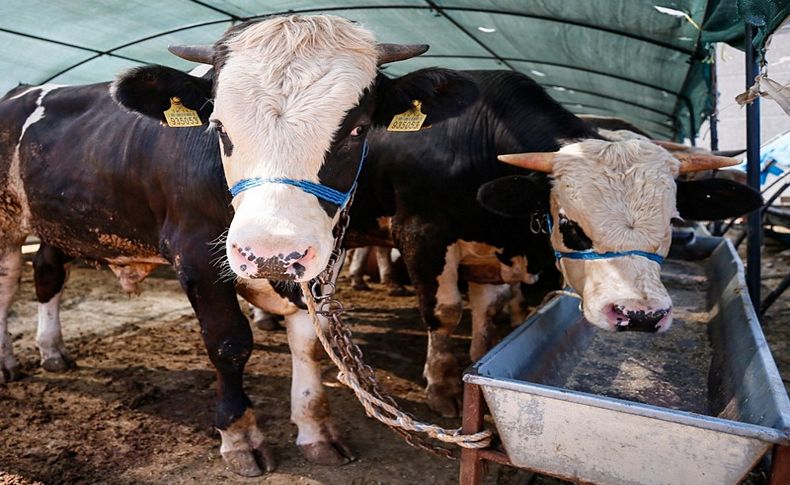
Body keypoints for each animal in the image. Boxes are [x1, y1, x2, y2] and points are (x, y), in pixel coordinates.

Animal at [0, 14, 480, 472]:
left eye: (358, 130)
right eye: (218, 126)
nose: (270, 253)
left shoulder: (321, 260)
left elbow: (309, 344)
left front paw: (316, 430)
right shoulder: (195, 254)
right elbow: (229, 343)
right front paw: (239, 435)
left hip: (58, 220)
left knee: (47, 272)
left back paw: (52, 351)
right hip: (8, 224)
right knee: (8, 286)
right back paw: (8, 362)